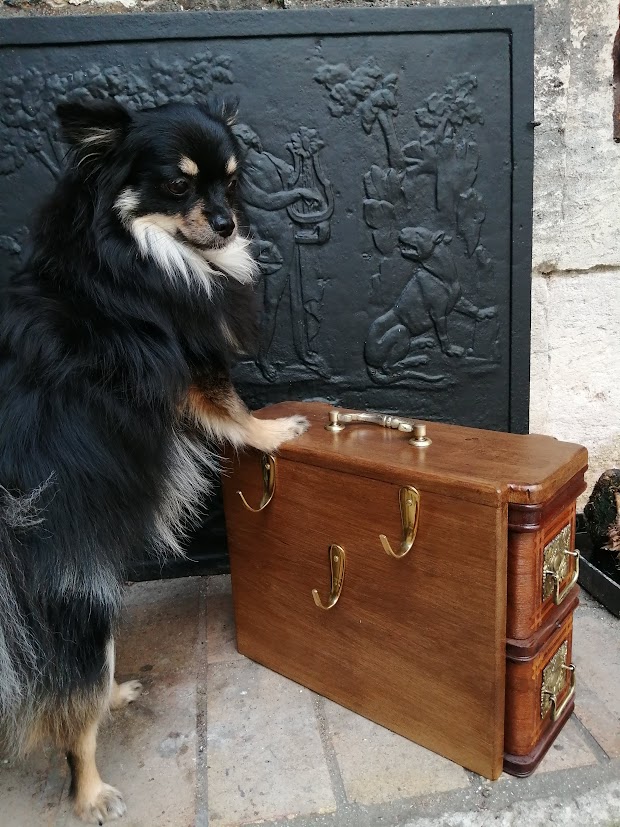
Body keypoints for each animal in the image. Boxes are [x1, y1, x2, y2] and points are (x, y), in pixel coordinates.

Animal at [0, 98, 308, 823]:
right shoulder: (187, 362)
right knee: (70, 712)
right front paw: (273, 433)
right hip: (74, 607)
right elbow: (234, 409)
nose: (227, 223)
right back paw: (92, 793)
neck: (135, 248)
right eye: (177, 184)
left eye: (231, 182)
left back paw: (115, 696)